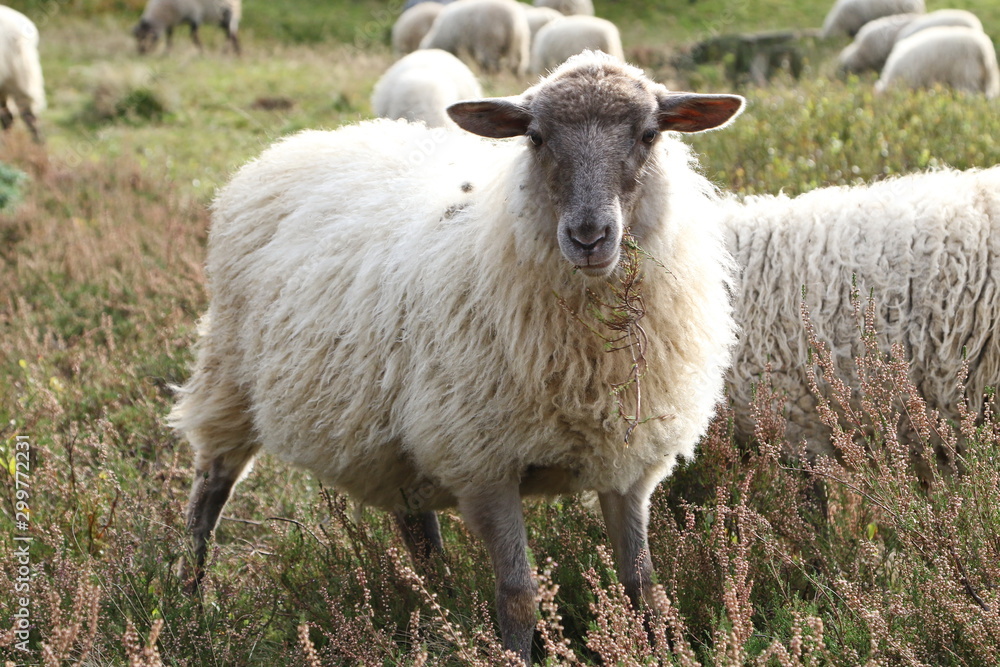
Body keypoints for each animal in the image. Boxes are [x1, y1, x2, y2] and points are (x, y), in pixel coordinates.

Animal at [172, 52, 748, 664]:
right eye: (536, 137)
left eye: (648, 134)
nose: (589, 237)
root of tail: (301, 142)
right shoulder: (483, 464)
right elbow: (518, 595)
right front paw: (516, 653)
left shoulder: (628, 463)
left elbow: (643, 584)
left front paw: (660, 648)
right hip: (228, 375)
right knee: (210, 491)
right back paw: (190, 599)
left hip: (388, 431)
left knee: (415, 525)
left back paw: (439, 605)